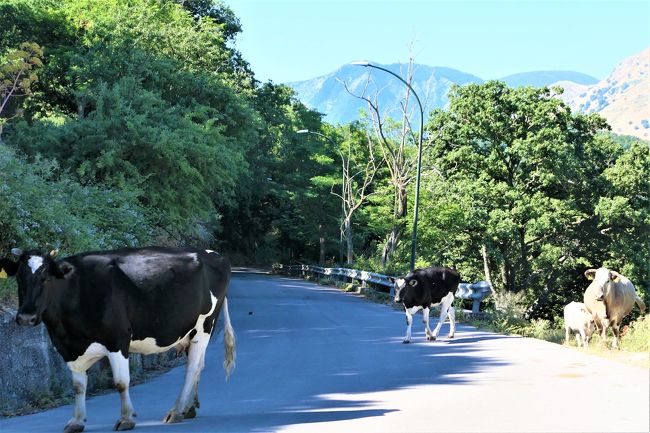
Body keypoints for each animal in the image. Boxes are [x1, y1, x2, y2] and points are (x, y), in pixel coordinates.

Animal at [0, 246, 233, 432]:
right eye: (19, 278)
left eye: (46, 278)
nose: (26, 317)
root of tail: (210, 253)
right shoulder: (69, 348)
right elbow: (78, 386)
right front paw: (76, 422)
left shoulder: (118, 339)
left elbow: (121, 382)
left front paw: (126, 419)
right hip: (191, 332)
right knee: (199, 366)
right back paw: (189, 408)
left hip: (204, 326)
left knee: (192, 368)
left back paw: (176, 411)